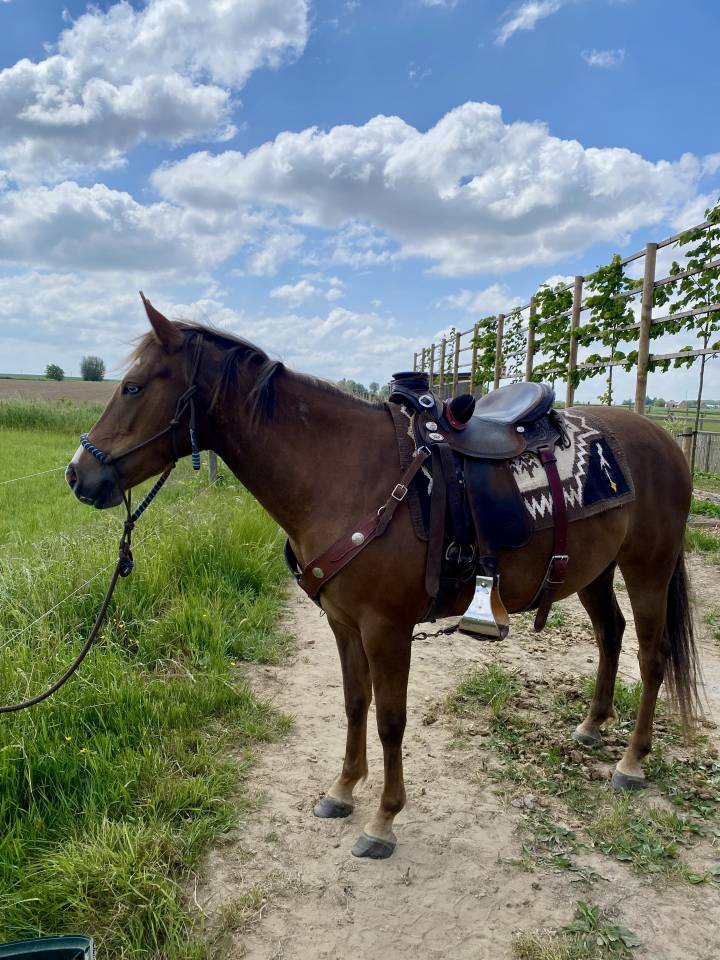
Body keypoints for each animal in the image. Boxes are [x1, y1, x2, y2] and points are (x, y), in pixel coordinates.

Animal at [66, 298, 699, 860]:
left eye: (133, 387)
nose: (78, 474)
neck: (344, 474)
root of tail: (663, 438)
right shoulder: (344, 624)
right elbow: (354, 704)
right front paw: (343, 791)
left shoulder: (386, 629)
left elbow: (391, 720)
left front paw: (383, 821)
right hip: (594, 572)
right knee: (611, 636)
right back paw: (592, 727)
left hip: (648, 568)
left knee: (652, 656)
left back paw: (631, 762)